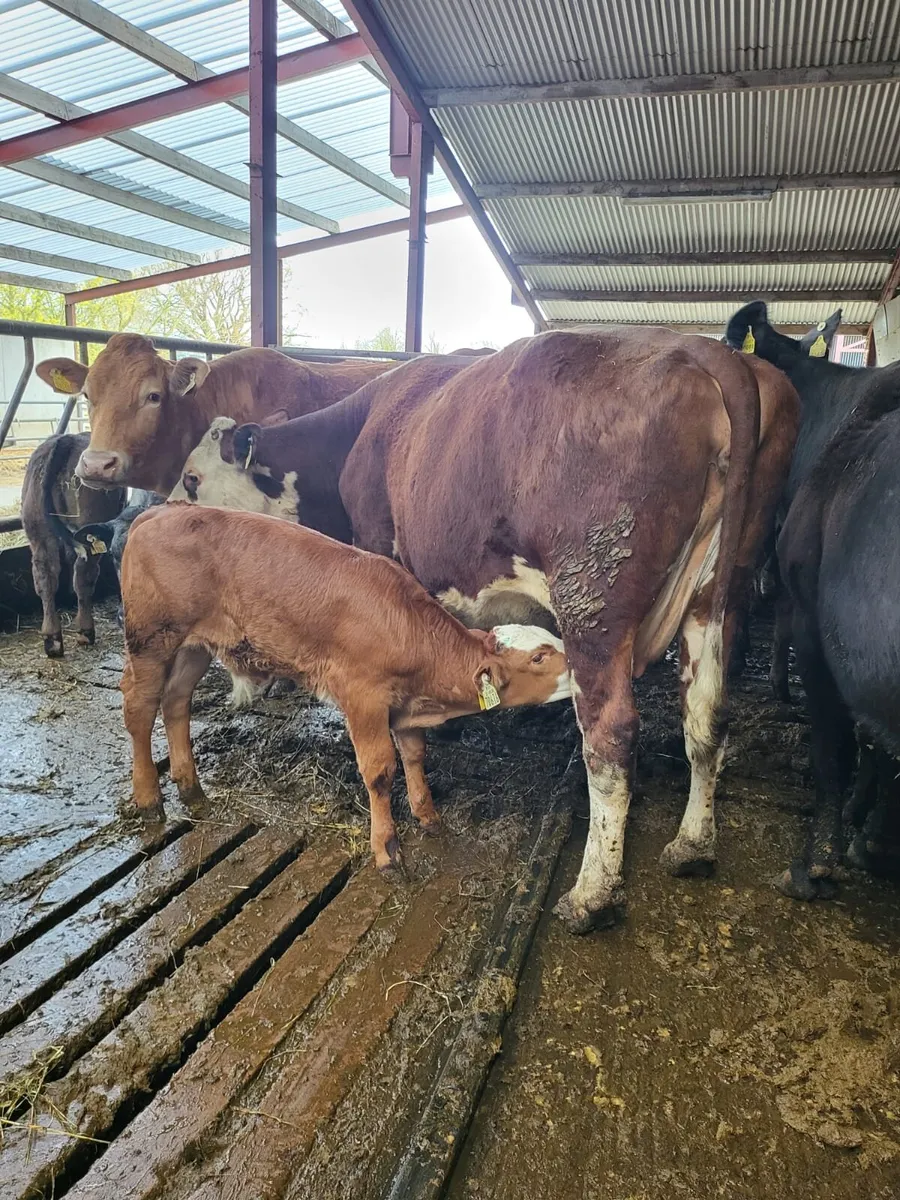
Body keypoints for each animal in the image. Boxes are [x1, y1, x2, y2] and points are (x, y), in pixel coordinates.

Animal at [21, 432, 125, 657]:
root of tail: (64, 440)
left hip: (38, 531)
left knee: (45, 577)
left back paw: (52, 639)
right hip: (88, 532)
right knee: (84, 577)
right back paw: (85, 631)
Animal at [120, 504, 571, 870]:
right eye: (538, 657)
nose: (579, 669)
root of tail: (161, 510)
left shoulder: (404, 707)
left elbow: (414, 756)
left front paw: (428, 816)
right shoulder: (363, 698)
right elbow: (380, 772)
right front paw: (386, 849)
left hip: (194, 646)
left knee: (176, 701)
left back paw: (191, 788)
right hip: (151, 639)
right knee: (139, 707)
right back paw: (149, 800)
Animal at [172, 329, 799, 933]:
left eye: (192, 477)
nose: (166, 515)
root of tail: (706, 349)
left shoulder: (381, 549)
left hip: (591, 598)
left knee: (611, 737)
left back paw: (591, 895)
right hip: (717, 597)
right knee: (707, 714)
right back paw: (693, 845)